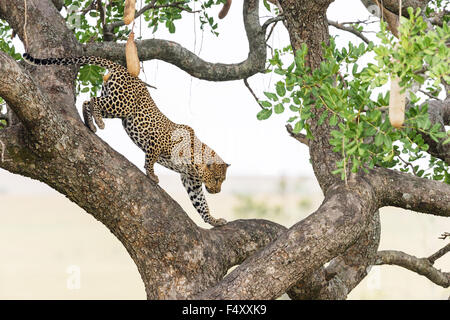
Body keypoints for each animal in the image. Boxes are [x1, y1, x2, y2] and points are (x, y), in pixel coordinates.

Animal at [22, 52, 230, 226]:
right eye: (217, 178)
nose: (218, 191)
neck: (194, 163)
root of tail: (123, 69)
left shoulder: (191, 182)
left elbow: (201, 204)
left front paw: (214, 221)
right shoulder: (157, 140)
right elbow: (150, 160)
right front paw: (152, 176)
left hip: (115, 105)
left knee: (88, 101)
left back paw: (91, 124)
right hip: (121, 105)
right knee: (92, 100)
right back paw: (98, 123)